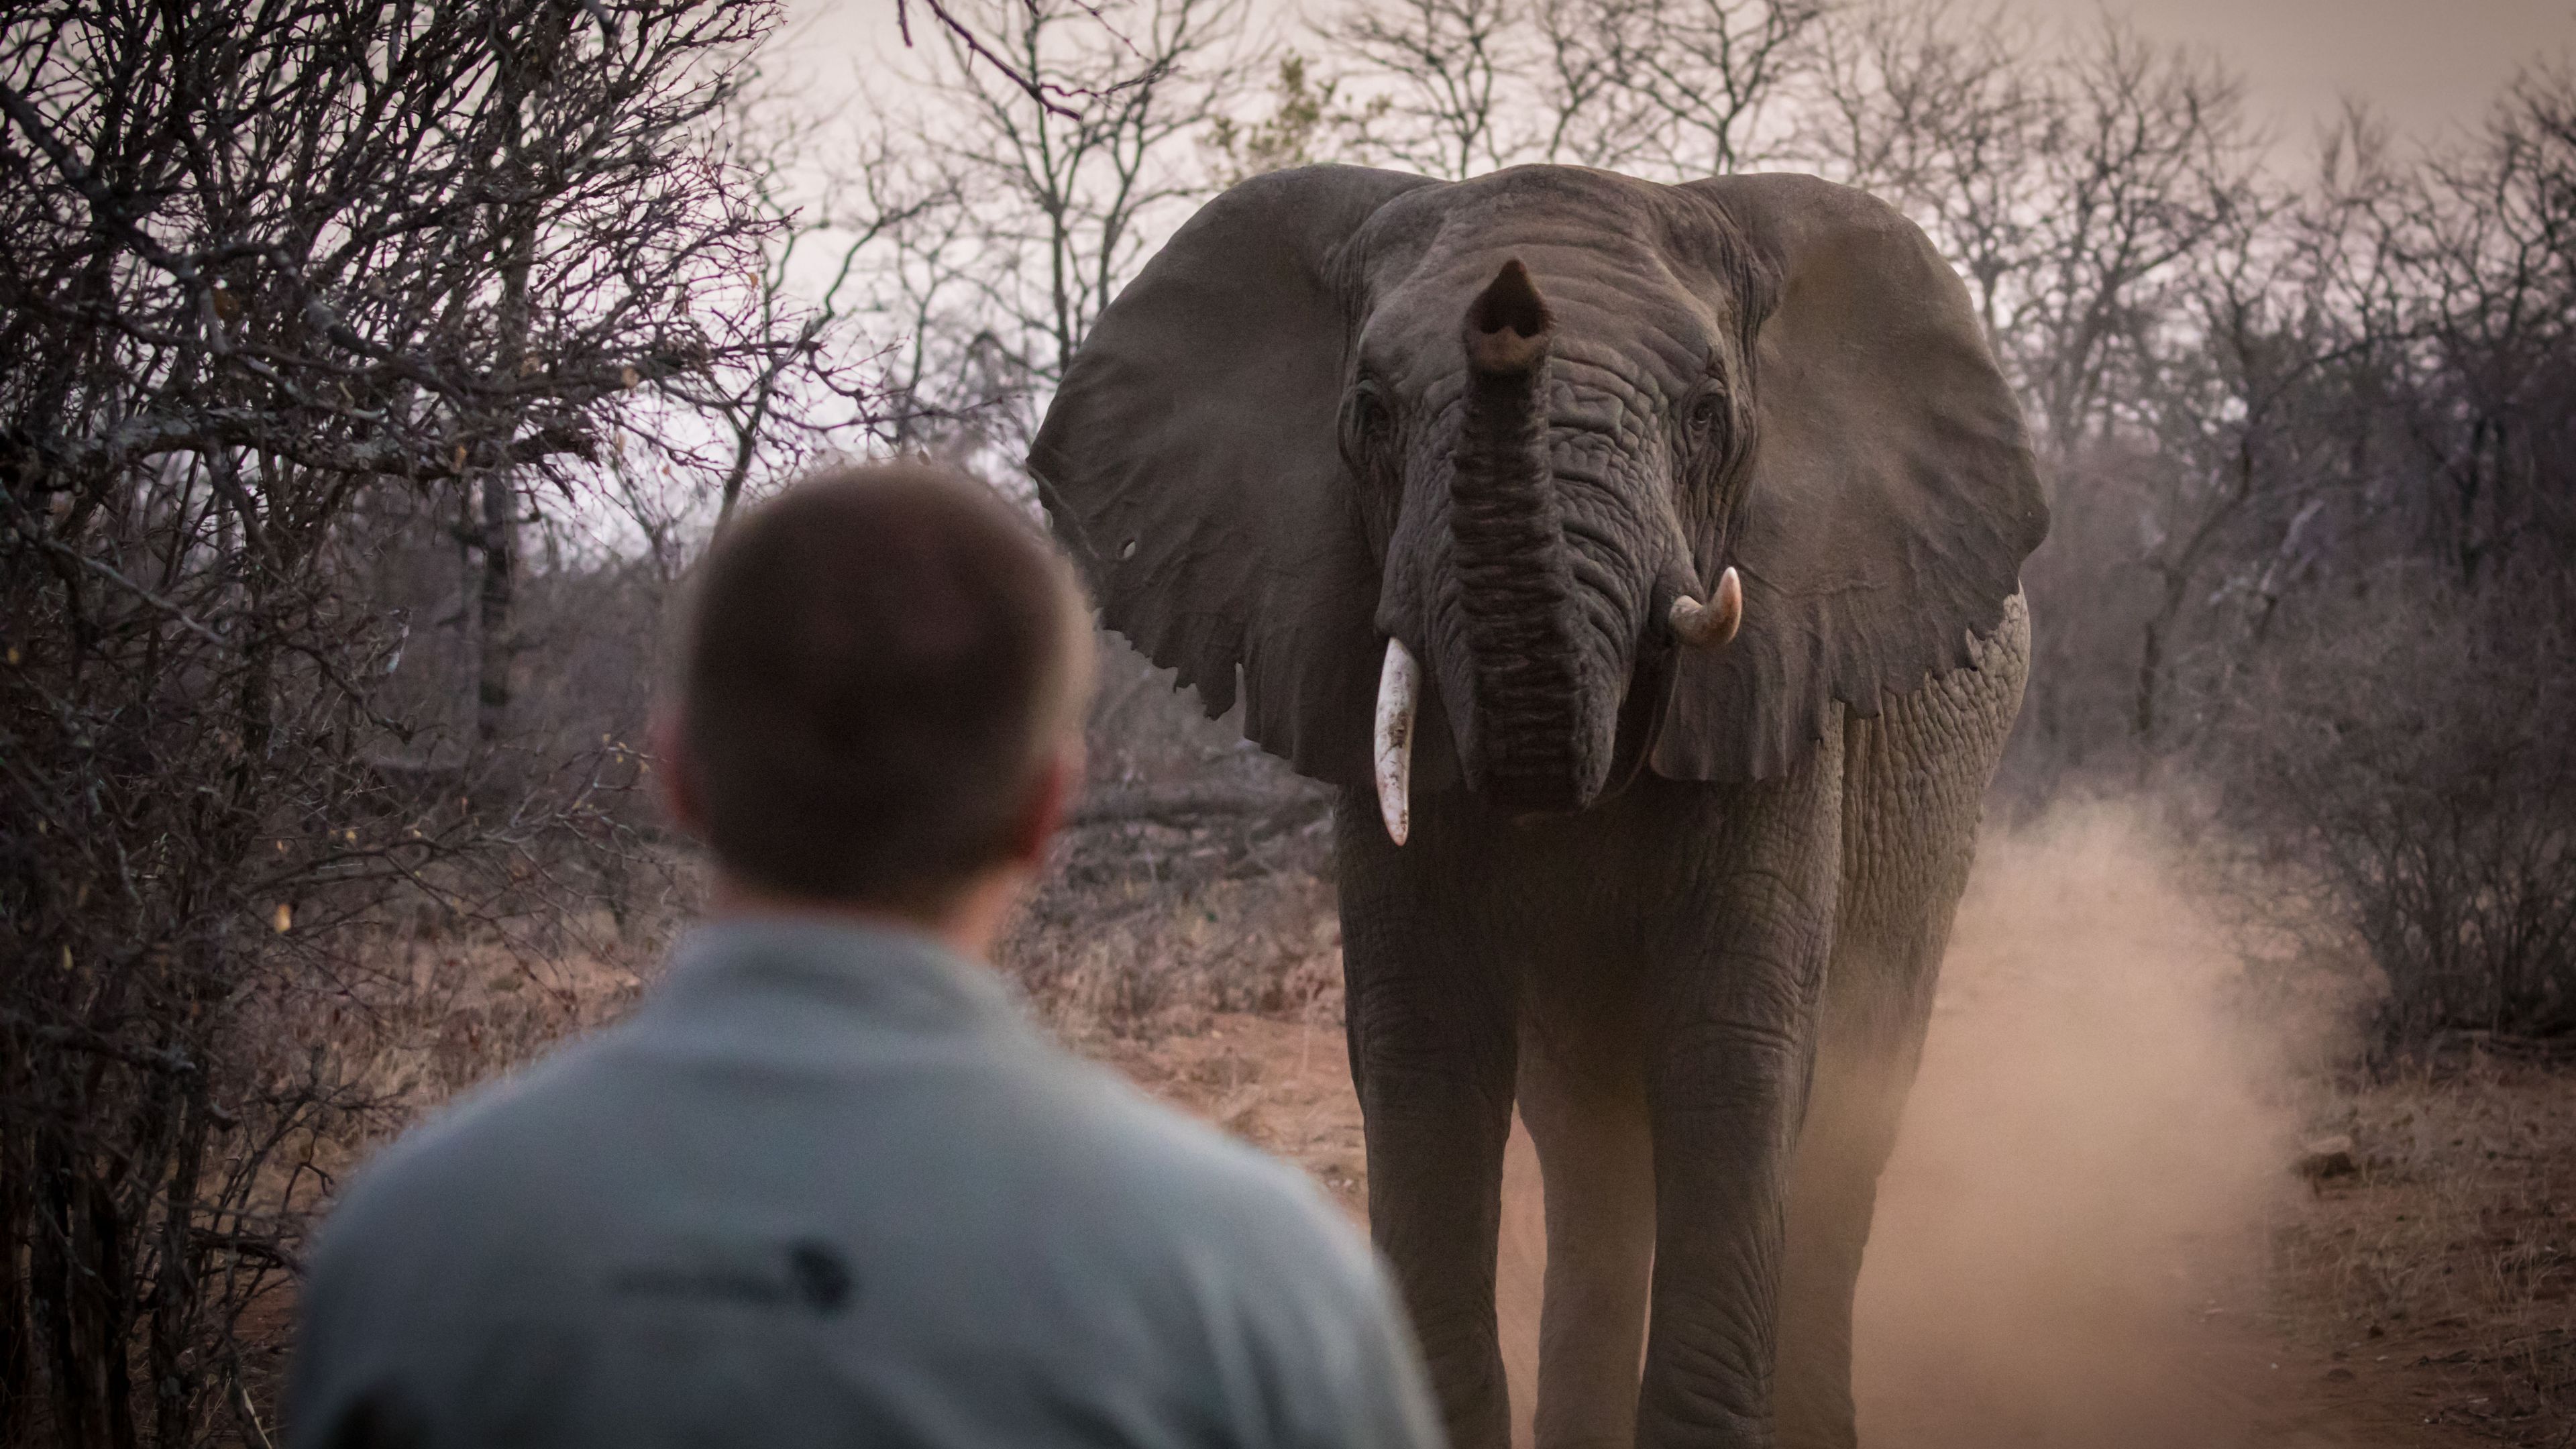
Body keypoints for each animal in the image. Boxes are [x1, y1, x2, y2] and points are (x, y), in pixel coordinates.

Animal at [1025, 160, 2050, 1444]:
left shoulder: (1787, 682)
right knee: (1591, 1152)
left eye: (1707, 414)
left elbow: (1737, 1048)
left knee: (1846, 1123)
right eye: (1371, 411)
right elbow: (1424, 1046)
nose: (1510, 308)